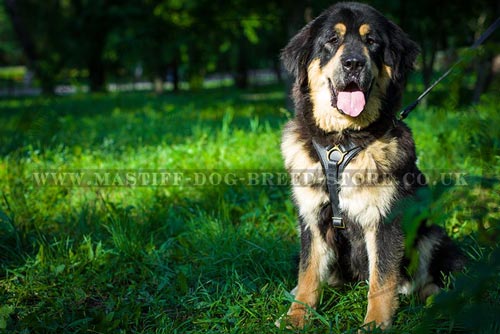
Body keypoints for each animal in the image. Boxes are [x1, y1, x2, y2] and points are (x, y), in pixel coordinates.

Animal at [278, 1, 464, 332]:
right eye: (332, 40)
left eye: (372, 41)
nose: (353, 63)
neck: (342, 145)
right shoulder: (311, 218)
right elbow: (308, 273)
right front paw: (297, 315)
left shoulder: (386, 220)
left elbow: (382, 279)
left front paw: (376, 322)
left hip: (431, 234)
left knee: (429, 278)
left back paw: (435, 299)